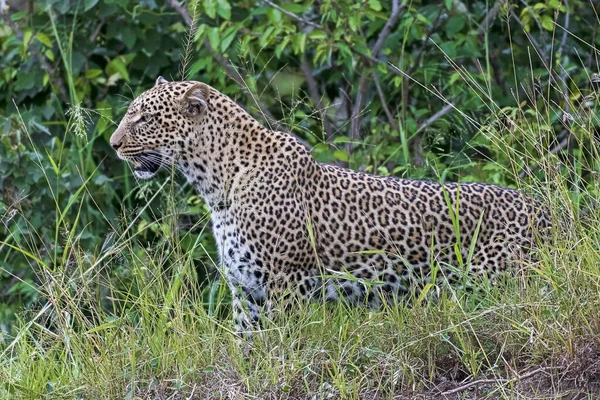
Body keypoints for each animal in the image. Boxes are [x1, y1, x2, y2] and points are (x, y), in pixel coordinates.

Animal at [110, 77, 552, 334]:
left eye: (144, 119)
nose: (113, 145)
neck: (215, 183)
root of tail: (547, 210)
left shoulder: (283, 284)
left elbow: (279, 348)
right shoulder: (245, 289)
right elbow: (246, 345)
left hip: (496, 282)